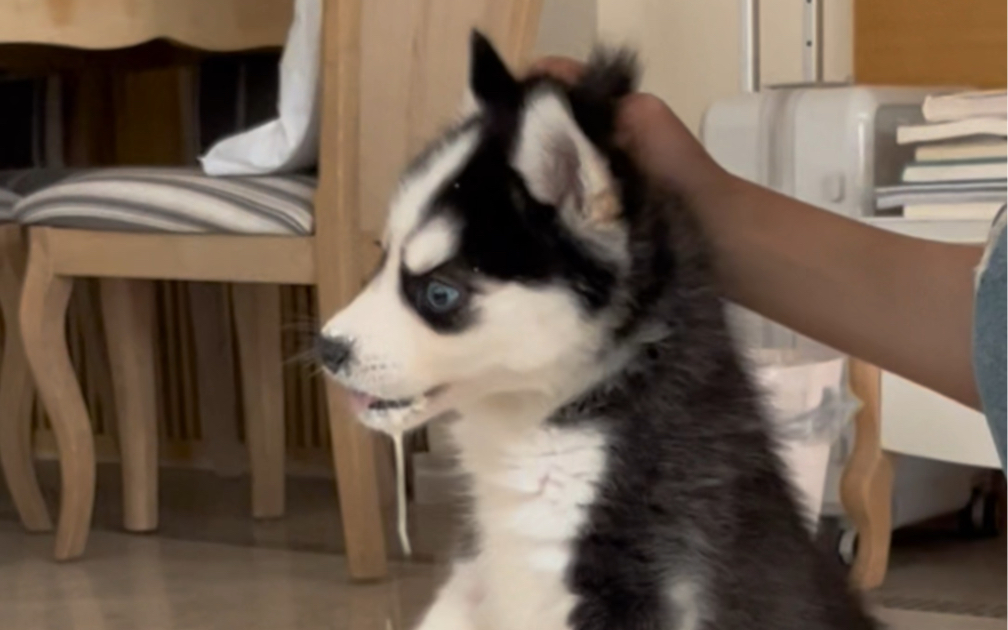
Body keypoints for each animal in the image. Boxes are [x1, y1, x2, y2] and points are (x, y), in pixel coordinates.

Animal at [318, 31, 878, 630]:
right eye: (380, 258)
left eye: (439, 293)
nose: (326, 347)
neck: (547, 417)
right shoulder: (479, 575)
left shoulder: (635, 581)